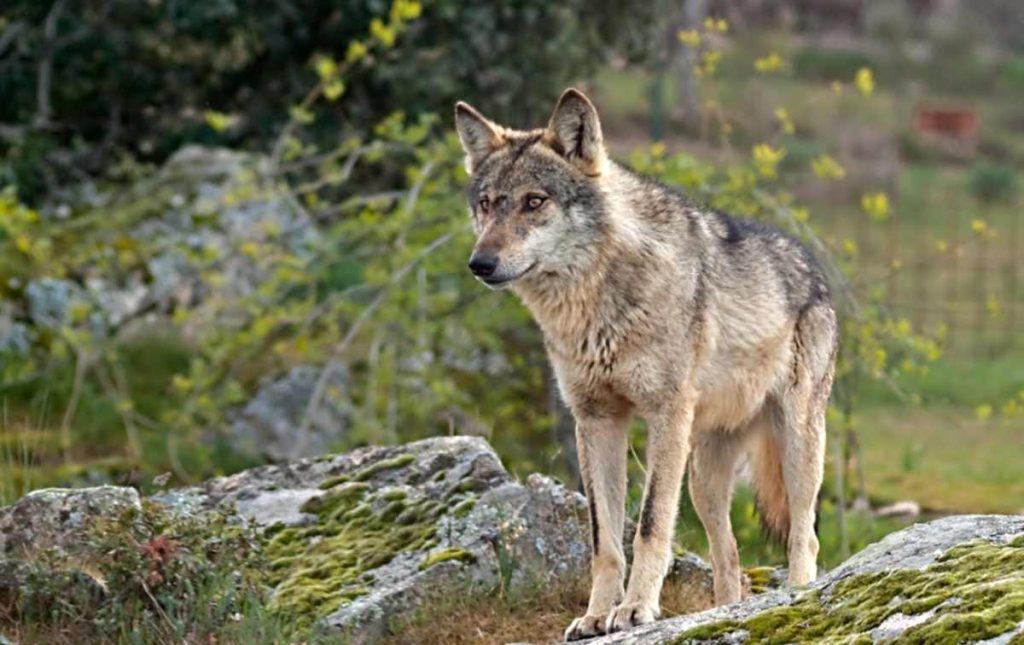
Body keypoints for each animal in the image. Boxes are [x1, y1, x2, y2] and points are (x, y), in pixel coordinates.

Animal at [452, 91, 835, 642]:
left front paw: (635, 610)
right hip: (702, 478)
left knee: (805, 535)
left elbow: (651, 526)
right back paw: (725, 613)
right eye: (486, 204)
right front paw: (596, 616)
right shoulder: (595, 421)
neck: (595, 302)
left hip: (796, 445)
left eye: (534, 201)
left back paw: (800, 596)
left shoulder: (663, 415)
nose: (480, 263)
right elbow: (605, 540)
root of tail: (813, 267)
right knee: (729, 555)